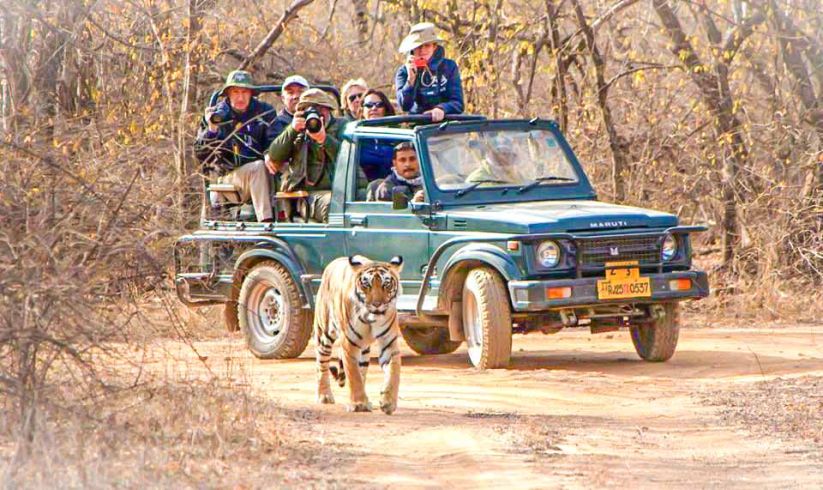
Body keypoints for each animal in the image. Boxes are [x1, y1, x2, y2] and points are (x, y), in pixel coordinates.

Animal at [313, 255, 403, 414]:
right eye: (366, 285)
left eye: (386, 284)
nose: (377, 304)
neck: (371, 318)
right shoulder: (349, 343)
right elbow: (353, 375)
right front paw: (359, 403)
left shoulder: (389, 342)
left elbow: (393, 373)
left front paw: (388, 402)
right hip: (324, 334)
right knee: (321, 363)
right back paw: (324, 396)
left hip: (364, 349)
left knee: (362, 370)